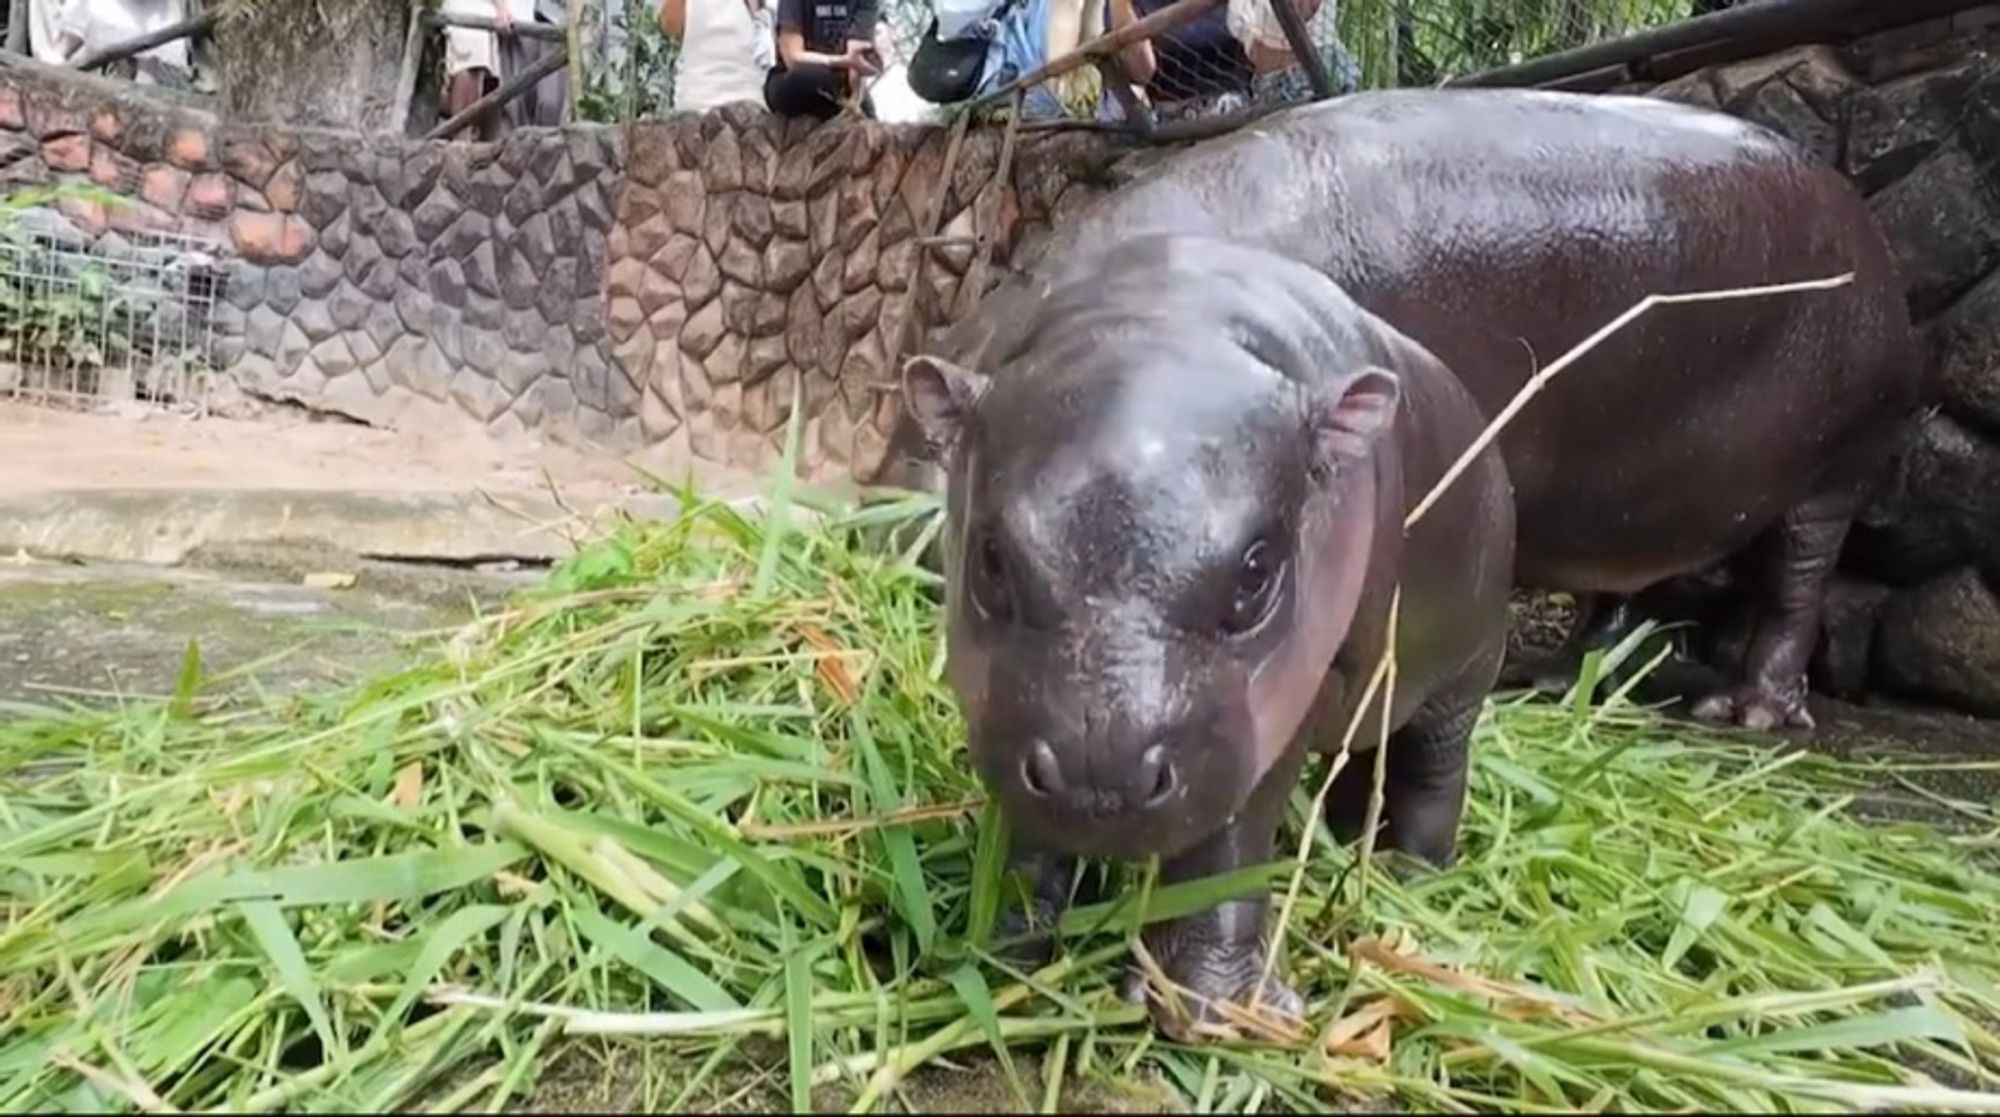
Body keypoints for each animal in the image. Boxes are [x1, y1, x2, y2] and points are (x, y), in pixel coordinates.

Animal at [880, 89, 1920, 736]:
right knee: (1624, 589)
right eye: (917, 391)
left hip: (1837, 467)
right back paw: (1561, 682)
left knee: (1796, 584)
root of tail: (1868, 224)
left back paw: (1746, 715)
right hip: (1645, 483)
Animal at [900, 234, 1504, 1032]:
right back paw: (1351, 845)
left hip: (1464, 676)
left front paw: (1211, 1007)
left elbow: (1231, 842)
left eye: (1255, 571)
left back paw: (1411, 879)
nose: (1101, 773)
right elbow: (1029, 838)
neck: (1165, 320)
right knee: (1361, 761)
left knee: (1432, 768)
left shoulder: (1290, 697)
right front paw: (1005, 949)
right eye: (992, 557)